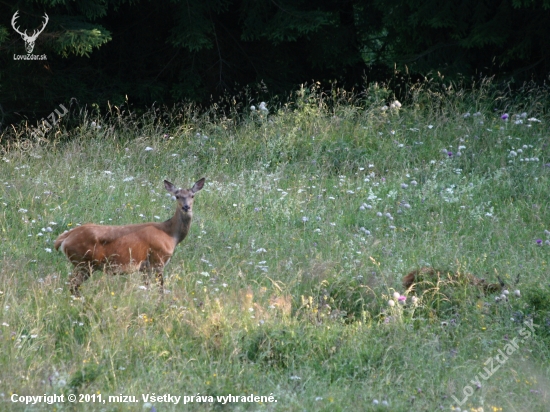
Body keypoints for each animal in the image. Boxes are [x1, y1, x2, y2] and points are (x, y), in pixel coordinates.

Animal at [55, 177, 206, 296]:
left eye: (192, 196)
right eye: (177, 196)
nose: (186, 207)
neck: (170, 235)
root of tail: (64, 238)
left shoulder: (145, 268)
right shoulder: (158, 260)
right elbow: (160, 289)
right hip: (84, 262)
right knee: (72, 285)